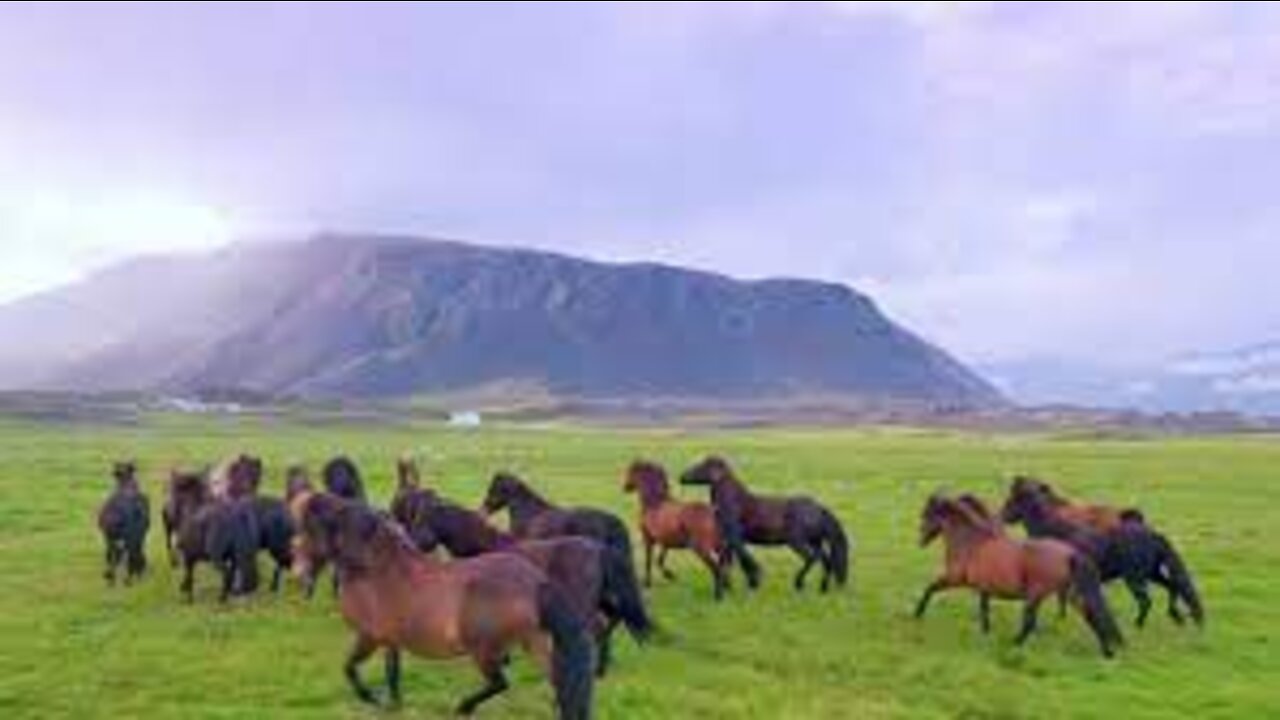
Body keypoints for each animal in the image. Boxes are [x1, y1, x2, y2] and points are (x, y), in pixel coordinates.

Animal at [290, 489, 593, 712]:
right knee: (559, 681)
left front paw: (371, 699)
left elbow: (350, 668)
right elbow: (392, 672)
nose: (299, 572)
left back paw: (463, 707)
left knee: (500, 683)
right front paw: (394, 704)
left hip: (484, 650)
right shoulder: (390, 639)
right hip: (534, 641)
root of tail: (535, 582)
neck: (378, 570)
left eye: (308, 531)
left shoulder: (369, 636)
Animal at [622, 456, 727, 597]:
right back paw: (728, 586)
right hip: (718, 545)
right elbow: (659, 560)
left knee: (716, 568)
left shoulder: (648, 539)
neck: (654, 503)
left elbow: (649, 560)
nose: (625, 487)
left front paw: (647, 583)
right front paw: (670, 575)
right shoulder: (666, 542)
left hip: (701, 548)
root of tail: (713, 512)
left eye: (630, 471)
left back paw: (718, 595)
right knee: (724, 564)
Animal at [680, 453, 849, 589]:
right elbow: (732, 562)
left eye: (703, 465)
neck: (735, 501)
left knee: (812, 558)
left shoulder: (736, 538)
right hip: (815, 542)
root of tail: (819, 507)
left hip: (797, 540)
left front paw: (754, 582)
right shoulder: (729, 540)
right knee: (826, 561)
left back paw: (798, 584)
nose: (682, 476)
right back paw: (822, 589)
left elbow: (745, 559)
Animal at [911, 489, 1121, 653]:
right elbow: (984, 609)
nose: (920, 541)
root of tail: (1069, 553)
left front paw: (917, 614)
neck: (971, 543)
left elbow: (930, 588)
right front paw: (985, 631)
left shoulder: (955, 579)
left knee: (1030, 622)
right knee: (1091, 614)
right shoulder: (983, 587)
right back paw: (1107, 652)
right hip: (1070, 594)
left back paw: (1013, 644)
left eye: (927, 514)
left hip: (1036, 595)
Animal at [998, 479, 1198, 625]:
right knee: (1173, 586)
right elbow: (1063, 598)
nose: (1001, 517)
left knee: (1146, 601)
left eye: (1012, 499)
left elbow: (1062, 597)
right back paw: (1176, 616)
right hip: (1151, 573)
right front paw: (1062, 619)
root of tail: (1152, 534)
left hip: (1135, 577)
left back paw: (1139, 625)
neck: (1053, 528)